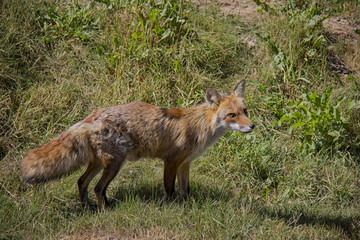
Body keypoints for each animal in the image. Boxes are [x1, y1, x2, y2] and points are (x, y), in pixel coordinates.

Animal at [21, 80, 255, 208]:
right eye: (232, 115)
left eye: (245, 111)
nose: (252, 126)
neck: (200, 126)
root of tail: (94, 115)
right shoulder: (171, 162)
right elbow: (169, 191)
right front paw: (169, 208)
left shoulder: (185, 164)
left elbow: (185, 191)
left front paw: (187, 206)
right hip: (115, 164)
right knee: (98, 188)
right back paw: (105, 211)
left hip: (99, 163)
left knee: (81, 182)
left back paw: (87, 207)